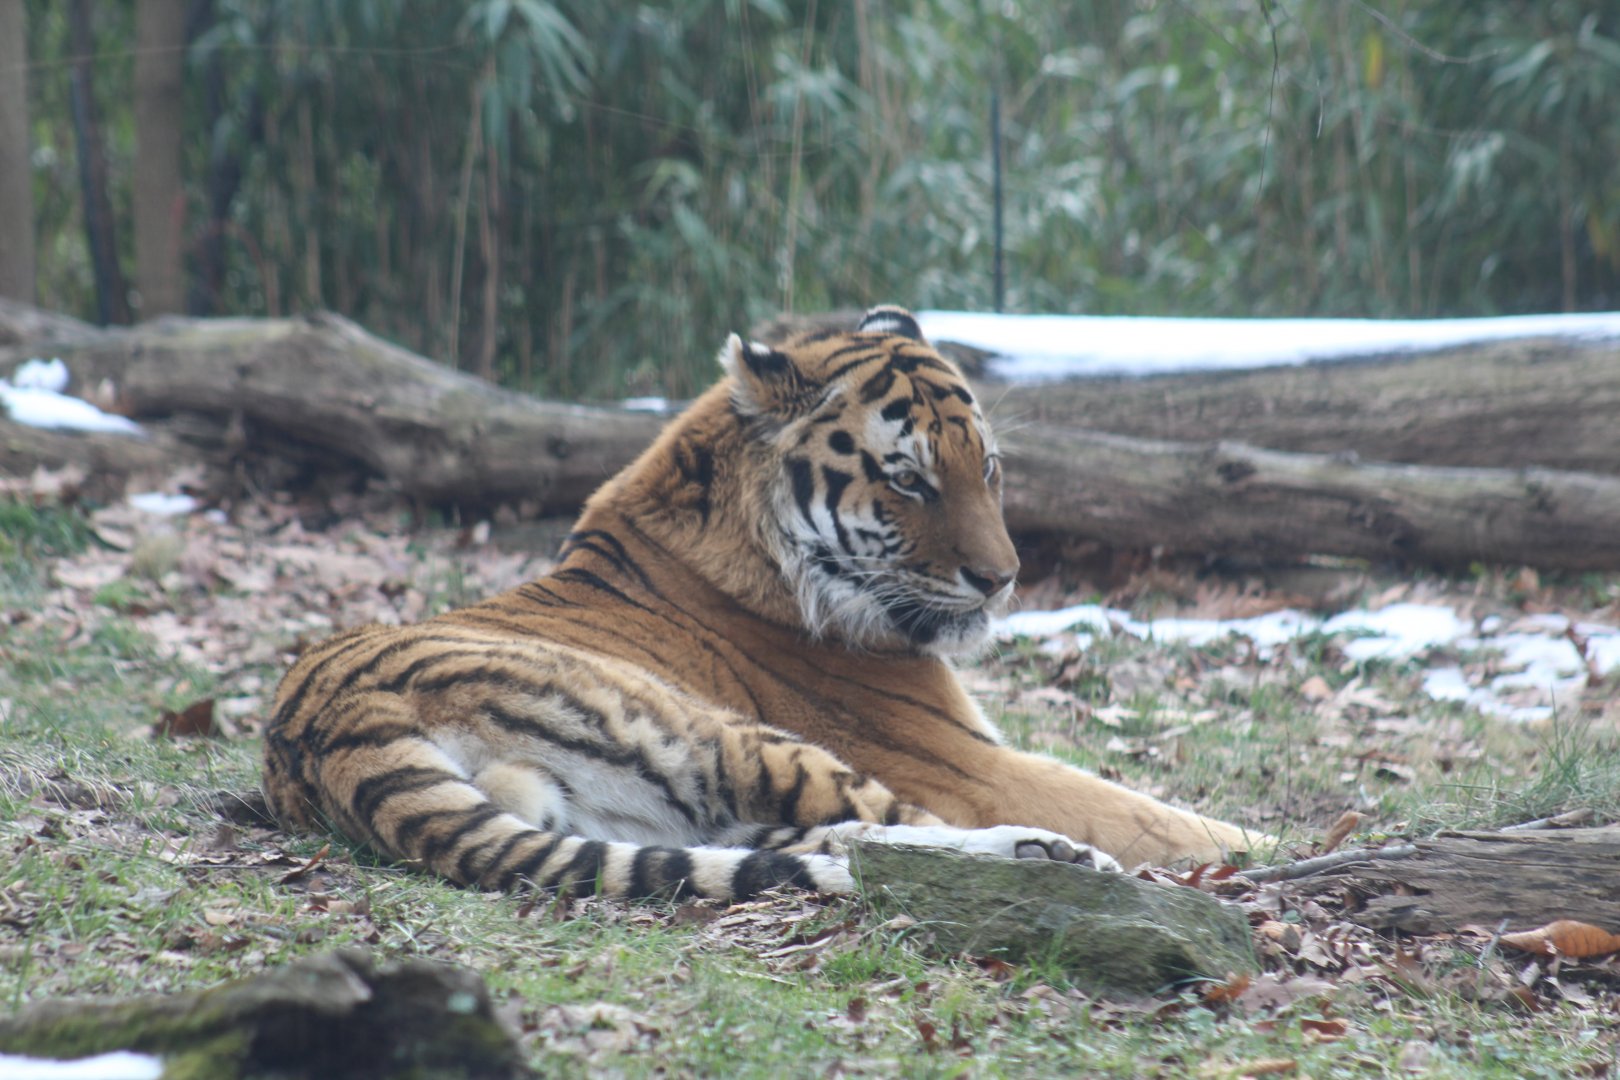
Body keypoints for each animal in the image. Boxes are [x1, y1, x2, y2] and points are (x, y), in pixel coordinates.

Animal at [262, 305, 1264, 901]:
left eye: (987, 467)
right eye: (908, 478)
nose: (1002, 578)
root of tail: (330, 729)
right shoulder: (969, 761)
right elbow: (1164, 815)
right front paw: (1263, 840)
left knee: (842, 843)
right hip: (722, 736)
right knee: (903, 837)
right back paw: (1058, 857)